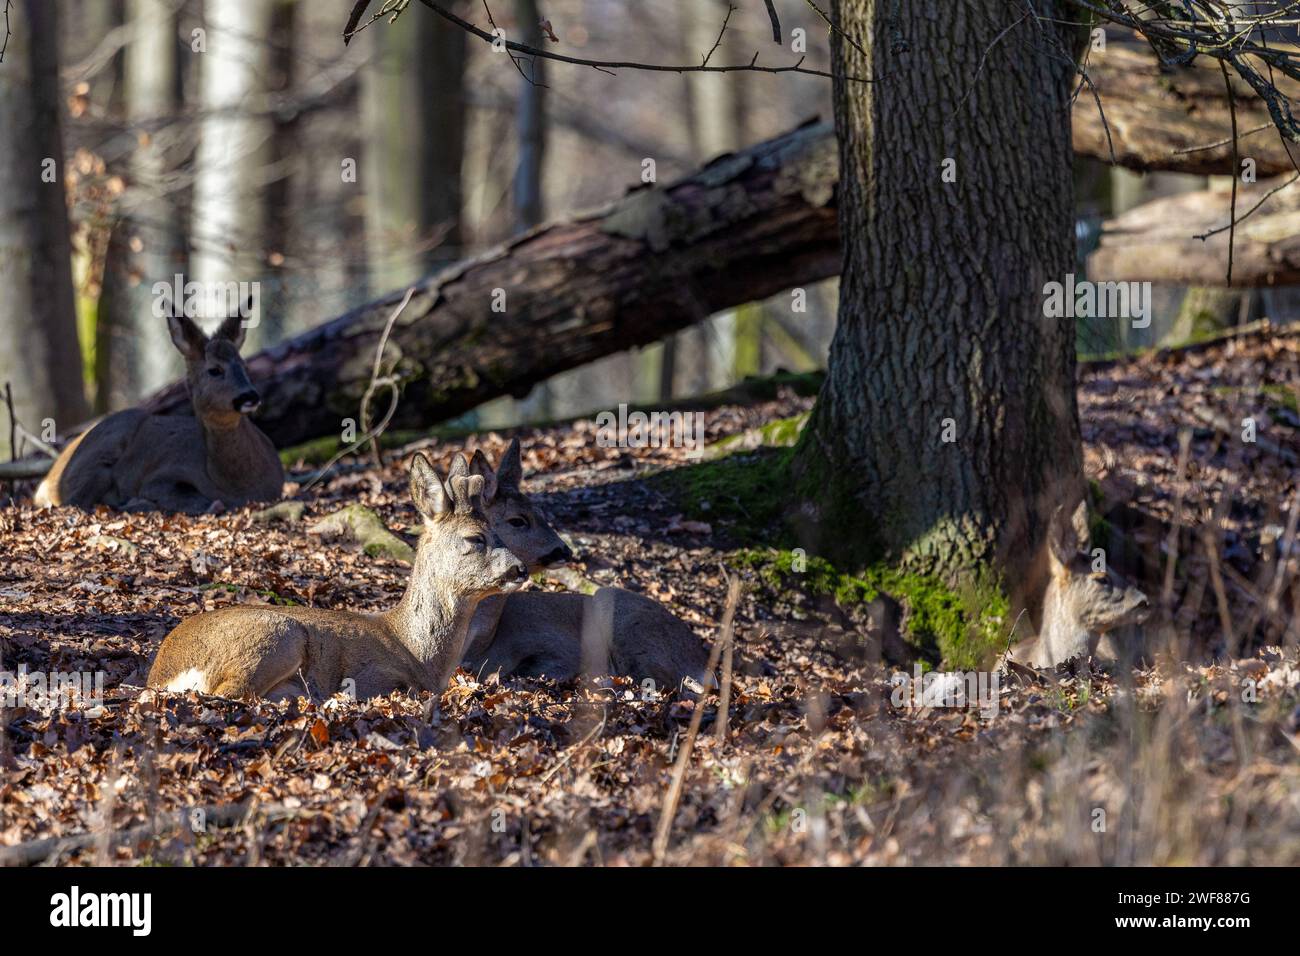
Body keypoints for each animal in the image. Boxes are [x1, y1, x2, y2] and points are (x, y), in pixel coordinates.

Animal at [32, 310, 283, 512]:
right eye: (215, 370)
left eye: (245, 366)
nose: (250, 396)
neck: (235, 483)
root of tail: (48, 477)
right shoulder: (161, 475)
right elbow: (196, 499)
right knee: (73, 500)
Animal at [152, 452, 533, 697]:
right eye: (475, 538)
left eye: (499, 530)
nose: (520, 568)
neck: (416, 652)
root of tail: (161, 673)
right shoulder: (373, 677)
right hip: (277, 635)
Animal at [462, 442, 717, 697]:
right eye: (517, 520)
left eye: (542, 513)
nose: (565, 551)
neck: (479, 647)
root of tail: (702, 660)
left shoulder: (560, 647)